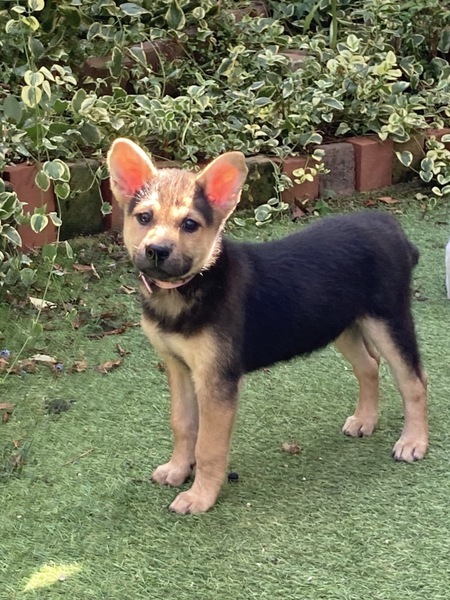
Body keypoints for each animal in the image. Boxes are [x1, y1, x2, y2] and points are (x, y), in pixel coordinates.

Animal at [107, 138, 428, 515]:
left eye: (189, 224)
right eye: (144, 218)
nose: (157, 251)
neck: (193, 286)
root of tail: (390, 226)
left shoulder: (217, 380)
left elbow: (208, 445)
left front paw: (199, 496)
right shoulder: (179, 367)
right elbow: (183, 424)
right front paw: (177, 469)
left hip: (388, 320)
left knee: (414, 381)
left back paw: (414, 441)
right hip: (340, 323)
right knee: (368, 365)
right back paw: (365, 420)